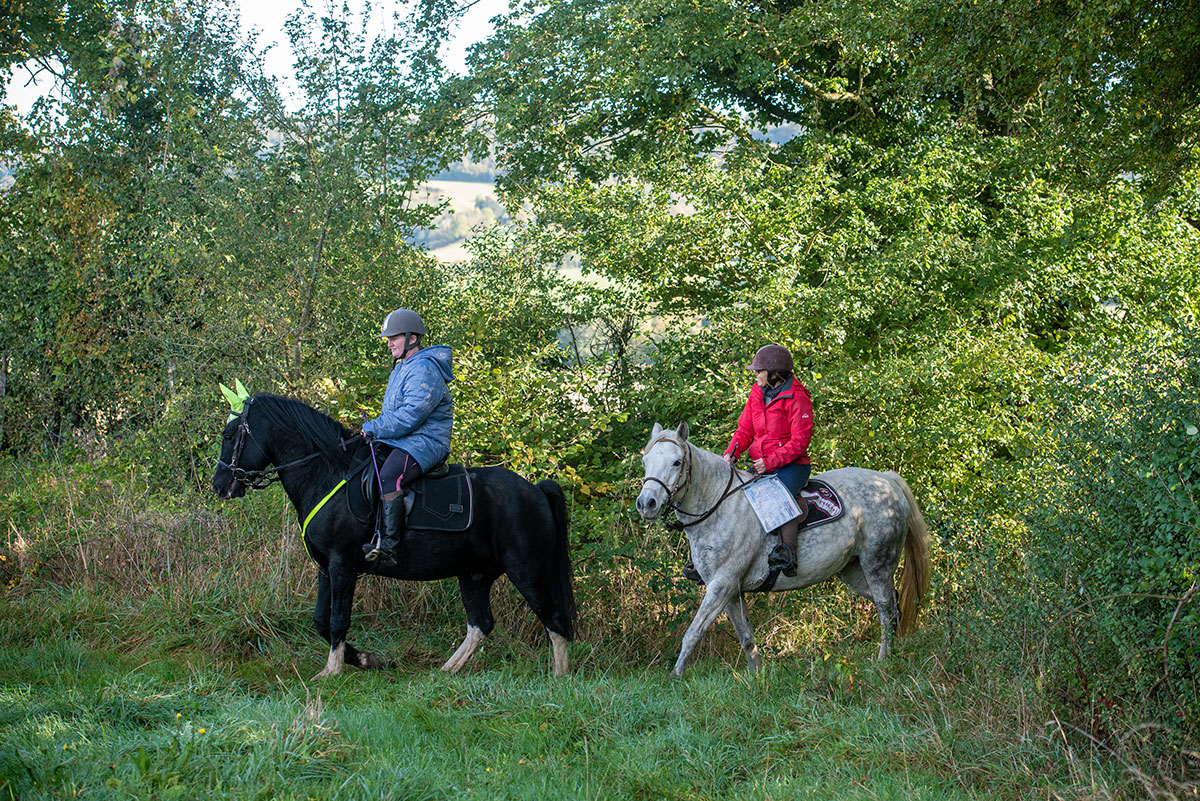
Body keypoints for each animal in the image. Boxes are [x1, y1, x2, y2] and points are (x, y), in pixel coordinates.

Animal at [211, 393, 576, 676]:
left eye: (230, 436)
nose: (219, 485)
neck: (327, 474)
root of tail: (536, 490)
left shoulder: (342, 565)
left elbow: (338, 619)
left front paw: (332, 672)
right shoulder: (326, 568)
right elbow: (320, 620)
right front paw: (365, 659)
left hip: (526, 570)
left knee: (554, 620)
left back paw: (559, 679)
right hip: (474, 575)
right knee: (480, 624)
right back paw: (446, 671)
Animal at [633, 422, 931, 681]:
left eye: (677, 462)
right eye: (646, 462)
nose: (647, 503)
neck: (719, 506)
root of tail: (886, 480)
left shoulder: (721, 585)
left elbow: (694, 632)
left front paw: (675, 676)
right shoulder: (731, 591)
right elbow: (747, 638)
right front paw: (756, 678)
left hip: (877, 563)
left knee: (886, 609)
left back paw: (883, 660)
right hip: (854, 571)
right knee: (892, 607)